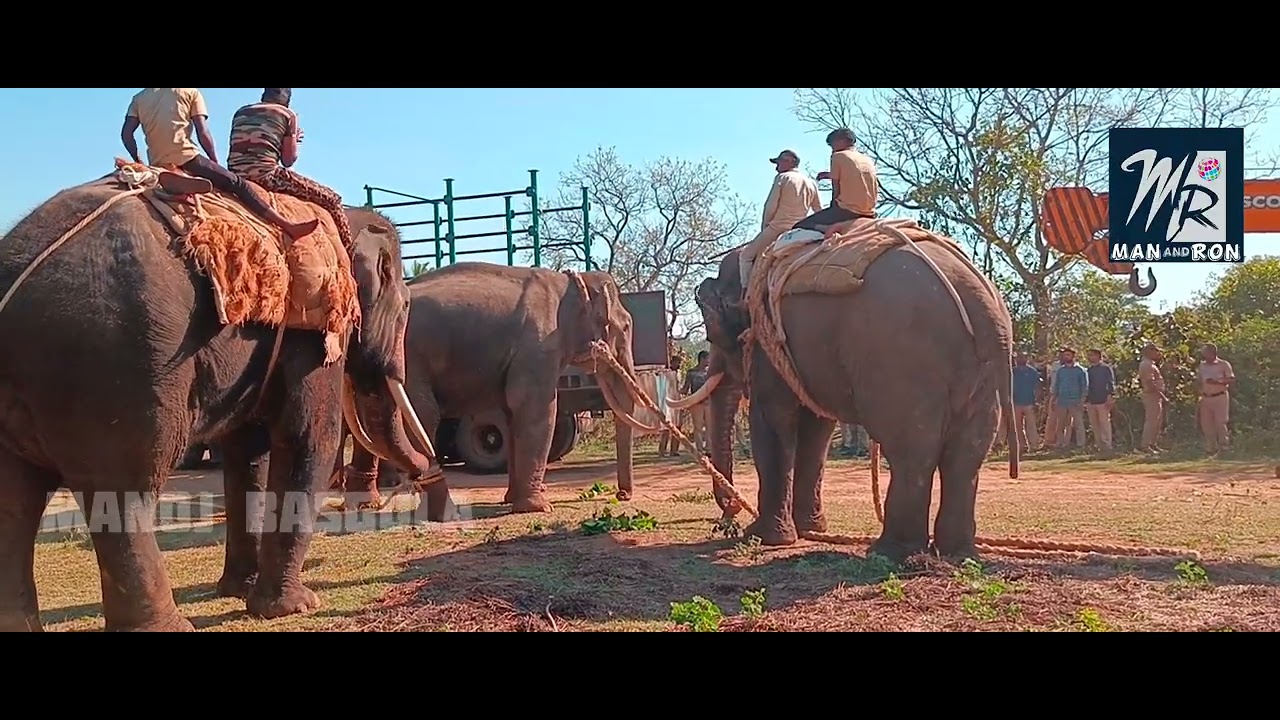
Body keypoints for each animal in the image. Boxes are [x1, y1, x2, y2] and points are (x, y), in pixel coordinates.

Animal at [0, 175, 435, 631]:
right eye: (405, 305)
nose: (422, 476)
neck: (347, 218)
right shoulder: (311, 333)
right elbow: (308, 436)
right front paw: (293, 607)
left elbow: (247, 450)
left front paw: (239, 590)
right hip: (111, 370)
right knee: (124, 488)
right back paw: (169, 626)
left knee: (13, 499)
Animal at [341, 262, 645, 515]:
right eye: (625, 327)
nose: (622, 495)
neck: (569, 283)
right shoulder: (539, 344)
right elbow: (536, 407)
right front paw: (538, 508)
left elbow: (511, 414)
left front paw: (513, 500)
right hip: (410, 358)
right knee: (423, 415)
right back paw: (441, 511)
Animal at [688, 242, 1018, 561]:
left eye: (713, 332)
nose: (727, 520)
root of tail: (986, 309)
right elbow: (817, 427)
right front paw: (810, 530)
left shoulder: (768, 342)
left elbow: (773, 417)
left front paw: (762, 537)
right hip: (979, 374)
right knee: (966, 455)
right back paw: (958, 553)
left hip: (902, 363)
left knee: (912, 451)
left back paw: (890, 552)